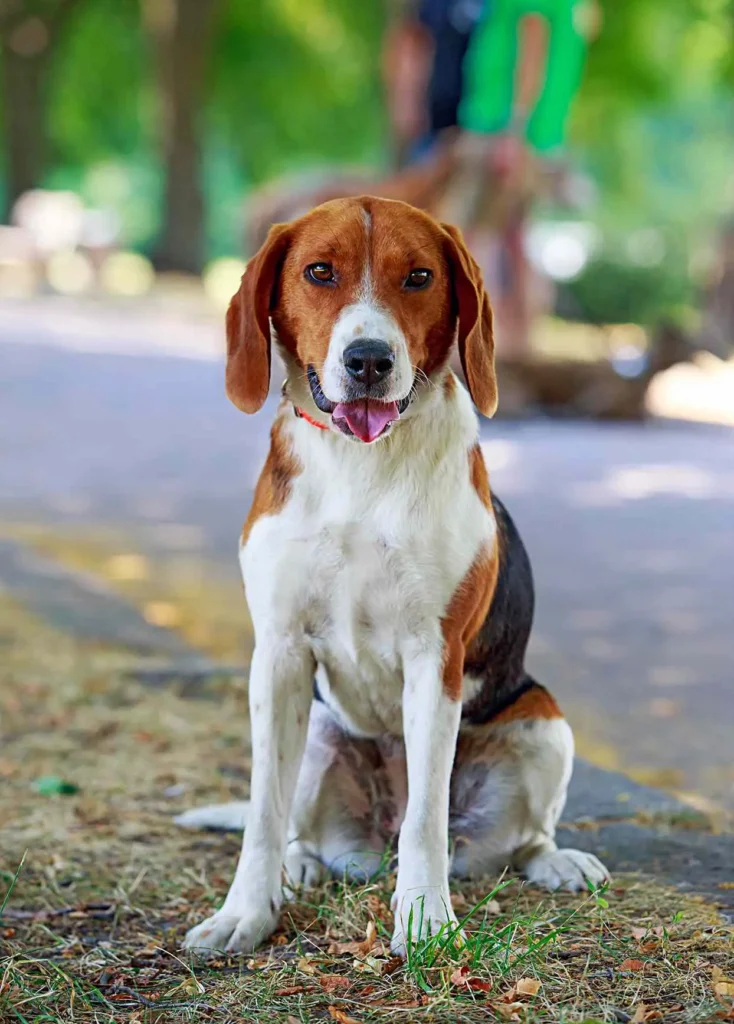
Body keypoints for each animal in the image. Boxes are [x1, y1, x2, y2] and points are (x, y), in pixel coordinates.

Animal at [179, 193, 606, 958]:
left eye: (419, 277)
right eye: (319, 271)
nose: (369, 360)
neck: (362, 463)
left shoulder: (434, 658)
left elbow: (426, 817)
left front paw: (425, 918)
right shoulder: (278, 655)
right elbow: (262, 813)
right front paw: (245, 913)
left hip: (544, 722)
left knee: (521, 838)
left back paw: (556, 861)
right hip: (318, 738)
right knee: (300, 829)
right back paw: (300, 866)